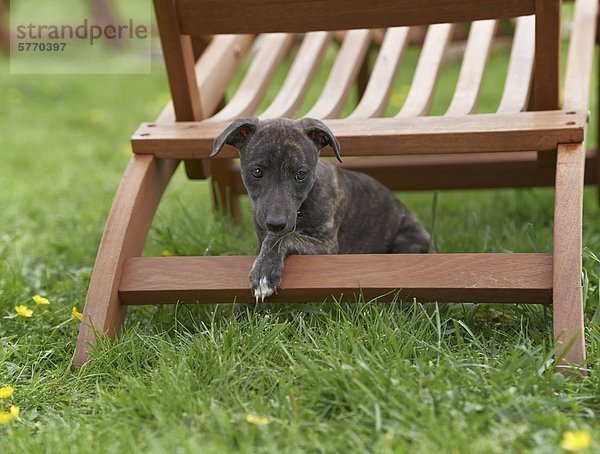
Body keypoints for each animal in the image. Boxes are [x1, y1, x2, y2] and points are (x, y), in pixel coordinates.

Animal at [212, 117, 432, 302]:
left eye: (301, 174)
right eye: (257, 172)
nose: (276, 223)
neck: (303, 206)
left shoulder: (327, 247)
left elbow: (285, 237)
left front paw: (264, 273)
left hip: (409, 239)